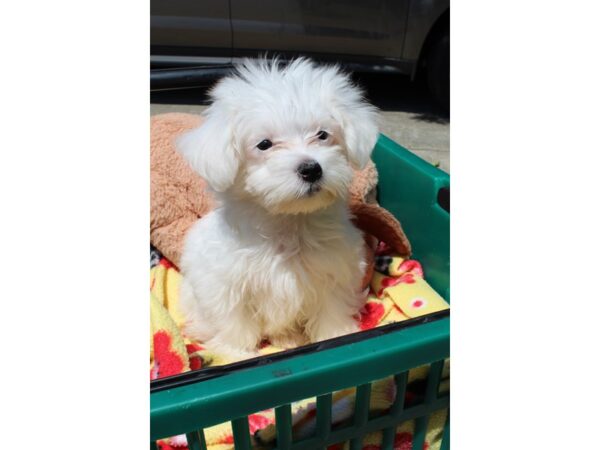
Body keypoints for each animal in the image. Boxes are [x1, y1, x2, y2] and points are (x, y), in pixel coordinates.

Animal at [176, 58, 380, 358]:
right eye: (264, 144)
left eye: (322, 135)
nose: (311, 169)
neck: (288, 222)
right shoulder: (227, 283)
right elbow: (234, 319)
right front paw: (237, 352)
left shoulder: (334, 270)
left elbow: (331, 308)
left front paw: (337, 336)